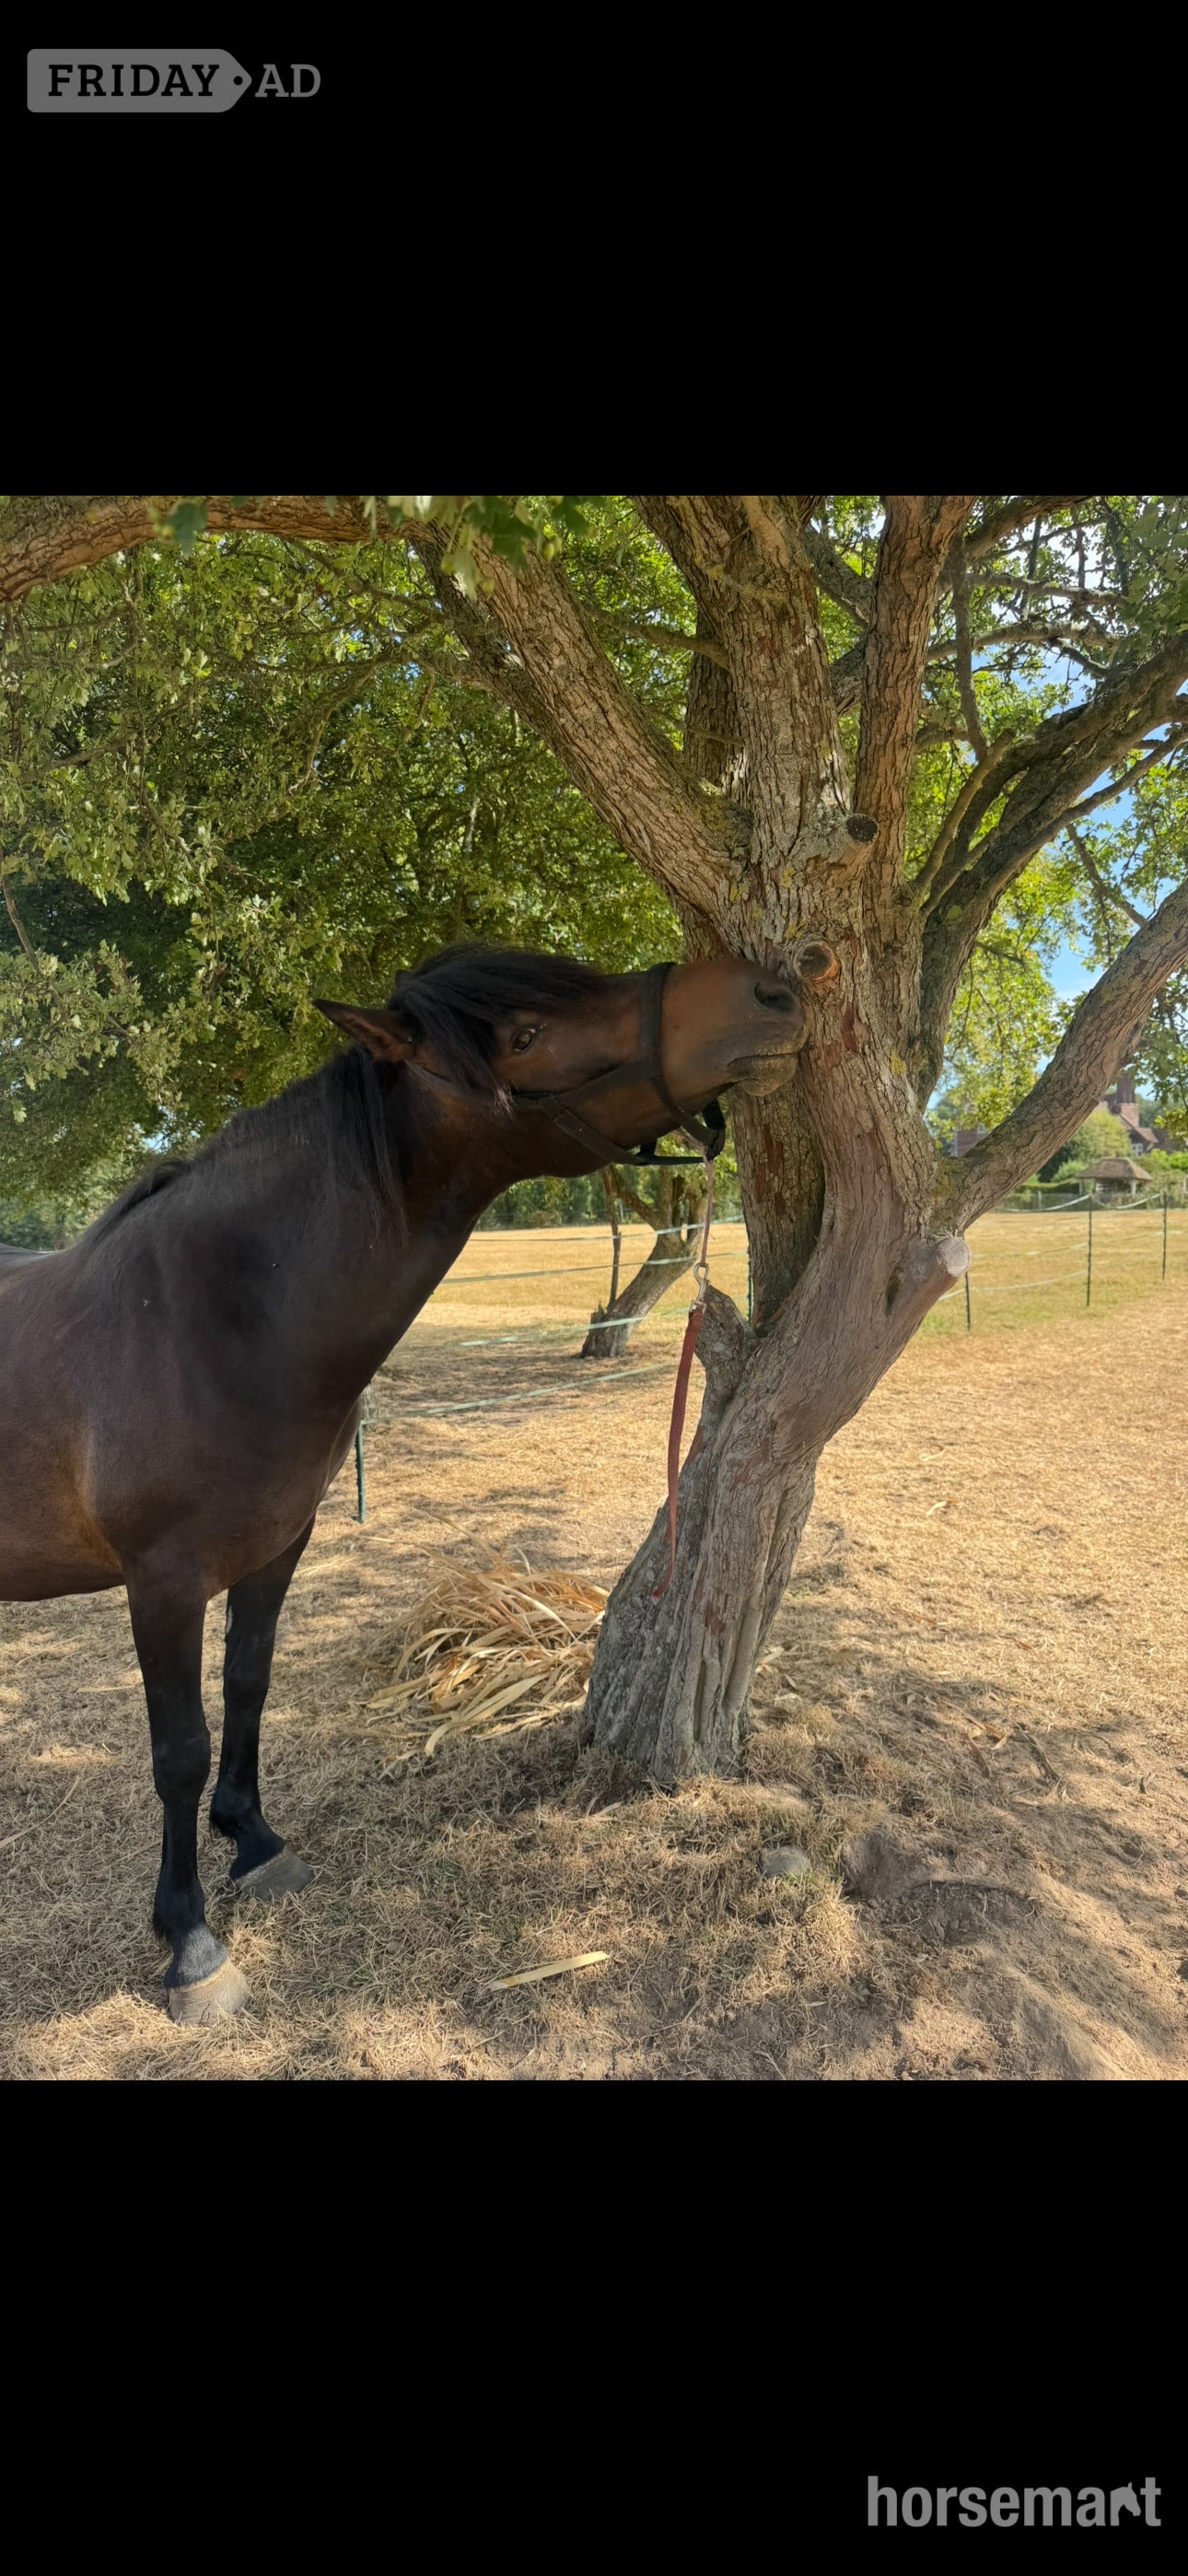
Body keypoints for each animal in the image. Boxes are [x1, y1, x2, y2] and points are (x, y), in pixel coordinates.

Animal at [0, 944, 804, 2021]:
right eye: (525, 1034)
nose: (774, 993)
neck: (201, 1319)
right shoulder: (161, 1583)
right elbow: (180, 1750)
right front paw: (190, 1939)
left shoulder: (276, 1549)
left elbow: (249, 1688)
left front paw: (254, 1843)